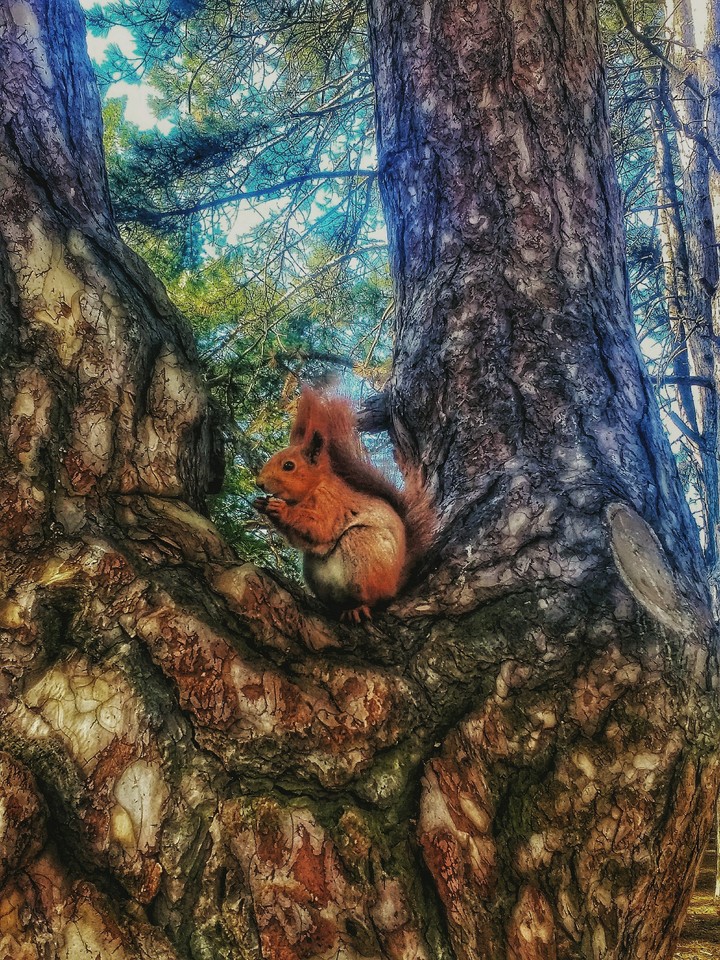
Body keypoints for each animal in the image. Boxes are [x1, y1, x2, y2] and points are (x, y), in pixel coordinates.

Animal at [253, 387, 435, 622]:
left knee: (374, 598)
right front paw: (262, 505)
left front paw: (282, 510)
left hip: (361, 548)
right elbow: (302, 540)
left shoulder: (332, 505)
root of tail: (395, 583)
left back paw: (359, 608)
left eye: (288, 466)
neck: (314, 488)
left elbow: (319, 527)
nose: (259, 483)